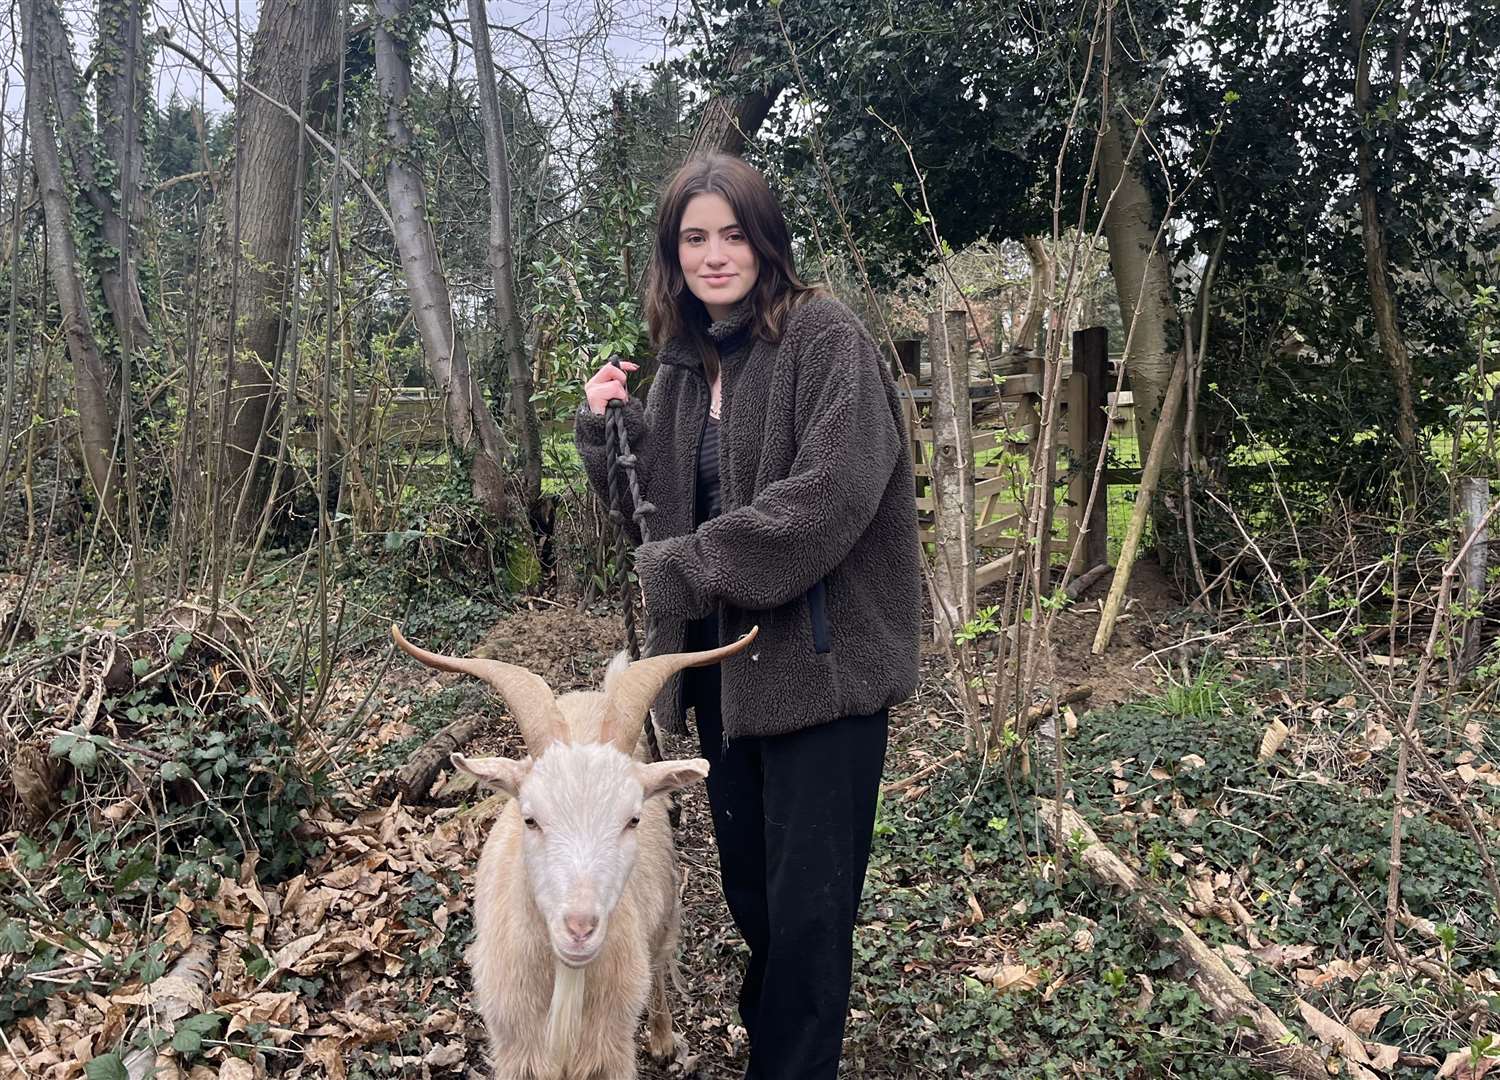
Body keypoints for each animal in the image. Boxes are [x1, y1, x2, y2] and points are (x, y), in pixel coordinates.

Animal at [393, 624, 756, 1080]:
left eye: (632, 819)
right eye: (530, 818)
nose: (579, 929)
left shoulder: (610, 1054)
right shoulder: (517, 1052)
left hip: (663, 911)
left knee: (658, 968)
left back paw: (662, 1039)